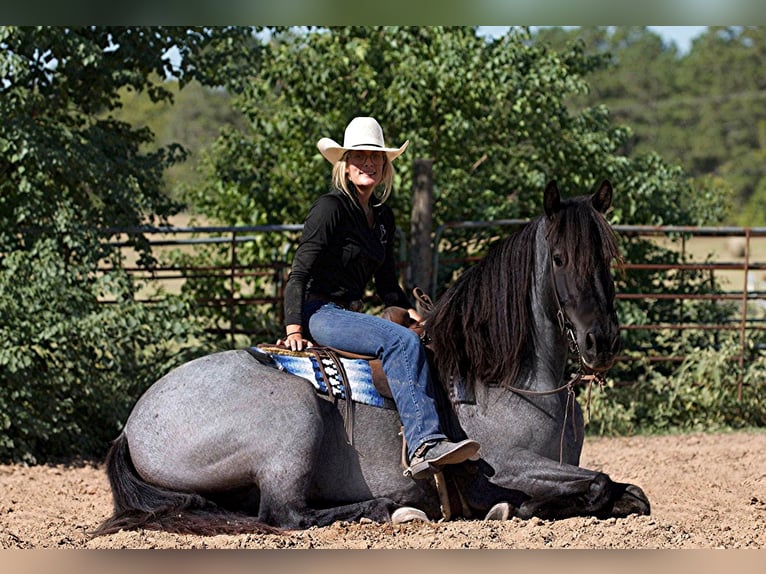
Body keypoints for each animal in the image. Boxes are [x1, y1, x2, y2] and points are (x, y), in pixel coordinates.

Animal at [93, 181, 652, 540]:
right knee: (284, 514)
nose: (601, 341)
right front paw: (507, 509)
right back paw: (394, 510)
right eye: (559, 259)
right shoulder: (508, 463)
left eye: (606, 258)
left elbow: (632, 493)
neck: (506, 378)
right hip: (292, 422)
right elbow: (598, 484)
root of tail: (131, 426)